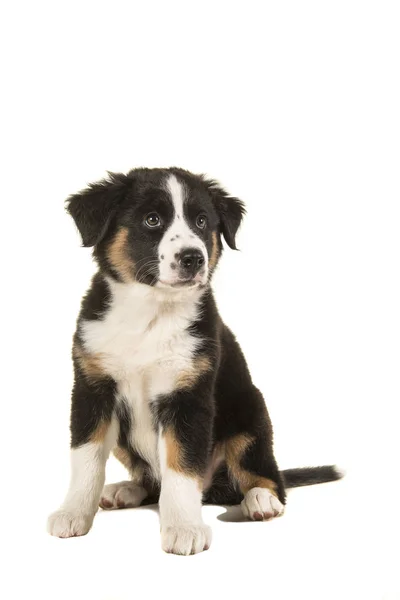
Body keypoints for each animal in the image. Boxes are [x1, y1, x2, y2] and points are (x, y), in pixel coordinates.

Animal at [47, 166, 340, 556]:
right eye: (152, 220)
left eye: (202, 221)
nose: (193, 258)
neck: (150, 314)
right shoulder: (92, 389)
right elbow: (87, 459)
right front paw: (73, 513)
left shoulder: (188, 396)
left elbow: (182, 468)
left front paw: (184, 529)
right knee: (151, 480)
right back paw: (124, 490)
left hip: (251, 415)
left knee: (266, 474)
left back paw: (261, 500)